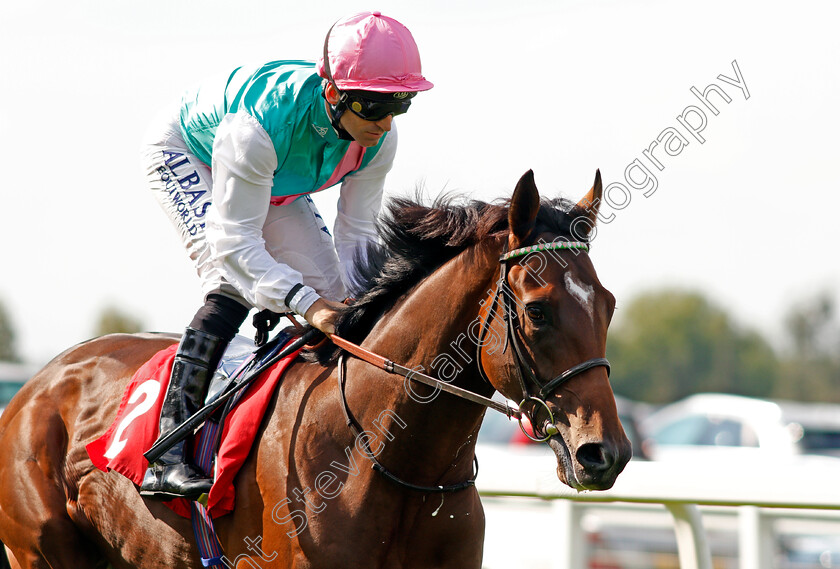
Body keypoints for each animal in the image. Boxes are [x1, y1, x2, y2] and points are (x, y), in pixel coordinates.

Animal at [0, 171, 632, 564]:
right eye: (537, 310)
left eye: (608, 305)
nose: (605, 453)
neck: (390, 461)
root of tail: (37, 382)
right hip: (41, 550)